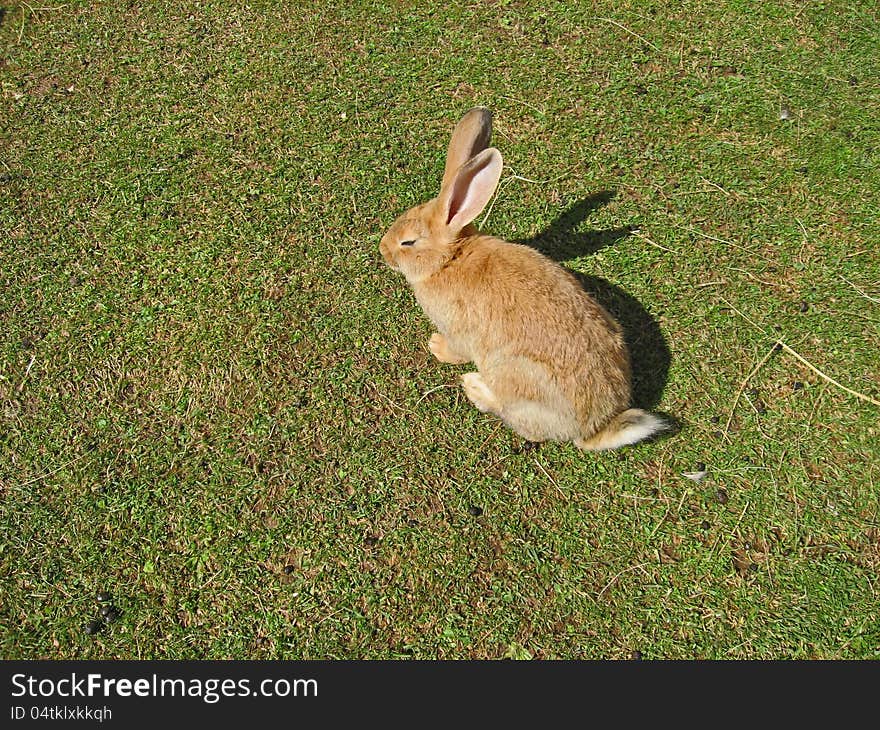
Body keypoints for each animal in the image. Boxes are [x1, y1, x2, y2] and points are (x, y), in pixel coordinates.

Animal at [380, 106, 668, 450]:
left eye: (408, 243)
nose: (382, 249)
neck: (450, 259)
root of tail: (594, 428)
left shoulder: (458, 331)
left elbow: (457, 351)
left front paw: (436, 347)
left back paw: (475, 387)